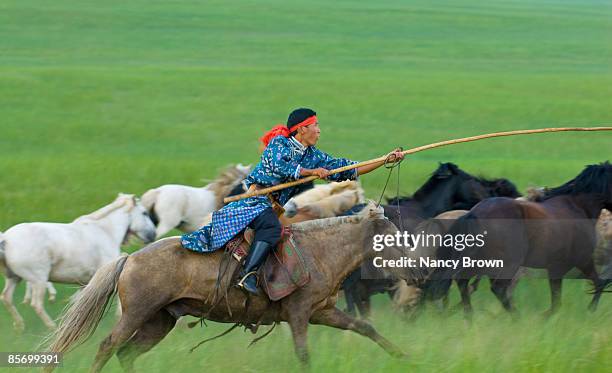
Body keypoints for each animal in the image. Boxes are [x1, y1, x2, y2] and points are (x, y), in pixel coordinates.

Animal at [0, 193, 155, 330]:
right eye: (144, 213)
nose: (152, 235)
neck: (106, 231)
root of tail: (6, 238)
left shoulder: (85, 282)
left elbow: (78, 302)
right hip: (38, 279)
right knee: (36, 304)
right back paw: (51, 327)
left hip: (14, 277)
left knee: (6, 297)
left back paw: (20, 326)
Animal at [44, 203, 420, 372]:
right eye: (390, 239)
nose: (417, 273)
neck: (320, 251)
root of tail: (129, 258)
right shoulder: (299, 314)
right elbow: (303, 353)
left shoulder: (323, 312)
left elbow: (365, 328)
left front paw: (402, 356)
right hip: (137, 313)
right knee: (109, 345)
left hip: (159, 321)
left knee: (126, 352)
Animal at [426, 161, 612, 318]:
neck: (578, 207)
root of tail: (474, 213)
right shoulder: (581, 260)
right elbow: (599, 283)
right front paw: (590, 309)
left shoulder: (555, 267)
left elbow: (558, 300)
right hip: (508, 262)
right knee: (497, 288)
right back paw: (516, 317)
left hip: (482, 260)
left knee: (463, 281)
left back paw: (469, 316)